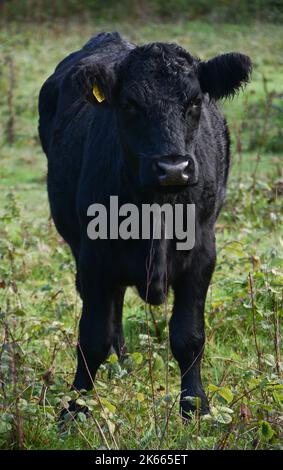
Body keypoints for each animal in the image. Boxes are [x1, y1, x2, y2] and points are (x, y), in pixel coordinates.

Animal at [38, 30, 253, 418]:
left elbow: (189, 335)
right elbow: (92, 337)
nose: (173, 169)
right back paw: (118, 362)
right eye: (130, 105)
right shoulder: (94, 256)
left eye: (194, 102)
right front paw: (75, 406)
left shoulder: (203, 254)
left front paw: (195, 406)